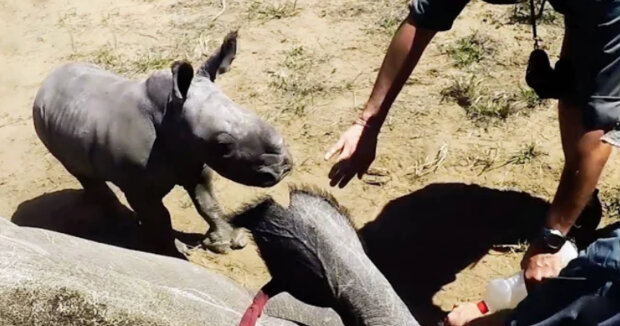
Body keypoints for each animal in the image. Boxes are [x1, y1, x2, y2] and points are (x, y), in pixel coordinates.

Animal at [33, 31, 294, 255]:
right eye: (223, 145)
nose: (283, 168)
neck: (171, 117)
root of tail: (44, 84)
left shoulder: (195, 158)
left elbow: (207, 201)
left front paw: (228, 242)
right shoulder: (139, 187)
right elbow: (160, 217)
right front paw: (177, 251)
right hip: (42, 122)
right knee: (82, 172)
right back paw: (125, 225)